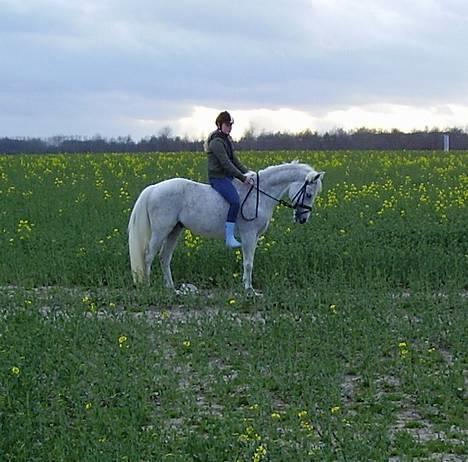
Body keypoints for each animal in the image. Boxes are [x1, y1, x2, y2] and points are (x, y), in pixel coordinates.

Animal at [128, 162, 326, 292]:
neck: (259, 194)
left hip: (174, 231)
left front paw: (247, 287)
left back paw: (171, 289)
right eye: (309, 194)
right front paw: (249, 290)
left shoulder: (254, 237)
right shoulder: (248, 234)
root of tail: (154, 189)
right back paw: (148, 286)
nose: (303, 219)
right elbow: (248, 263)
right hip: (161, 231)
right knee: (148, 256)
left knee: (164, 257)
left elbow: (249, 261)